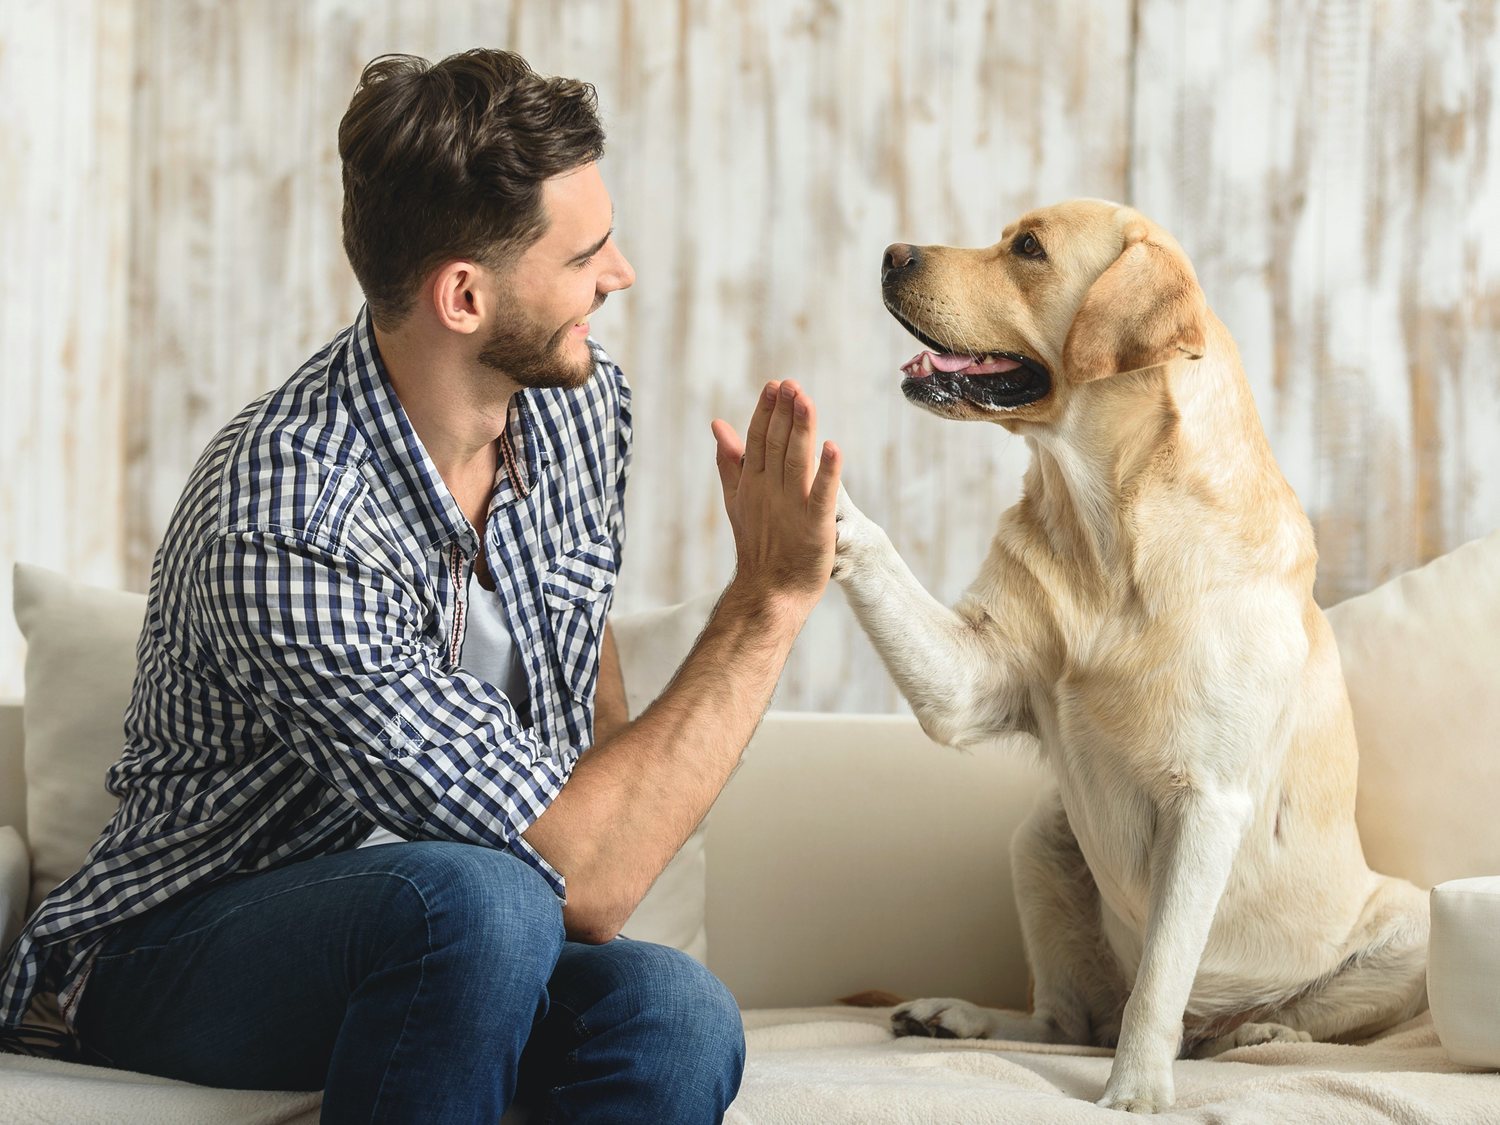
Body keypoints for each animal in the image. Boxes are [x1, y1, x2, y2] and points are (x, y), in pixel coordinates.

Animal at [834, 201, 1428, 1110]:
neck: (1109, 525)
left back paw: (1253, 1031)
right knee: (1067, 1021)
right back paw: (956, 1016)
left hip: (1409, 925)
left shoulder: (1207, 803)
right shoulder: (968, 680)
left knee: (1244, 1019)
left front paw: (1137, 1089)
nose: (893, 253)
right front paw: (810, 489)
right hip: (1041, 838)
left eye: (1029, 248)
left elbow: (1160, 979)